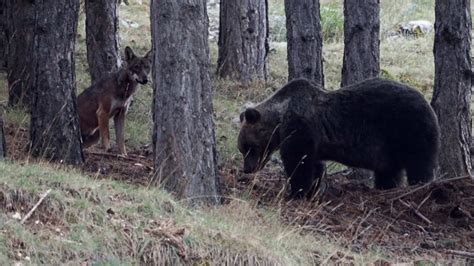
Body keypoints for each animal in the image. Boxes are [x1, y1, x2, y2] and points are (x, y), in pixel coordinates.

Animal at [237, 77, 440, 197]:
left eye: (248, 147)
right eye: (242, 149)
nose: (247, 169)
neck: (280, 117)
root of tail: (429, 106)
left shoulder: (300, 128)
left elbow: (298, 163)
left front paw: (296, 192)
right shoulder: (314, 142)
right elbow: (314, 165)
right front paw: (313, 190)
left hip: (408, 129)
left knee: (419, 164)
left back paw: (420, 186)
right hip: (390, 147)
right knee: (389, 172)